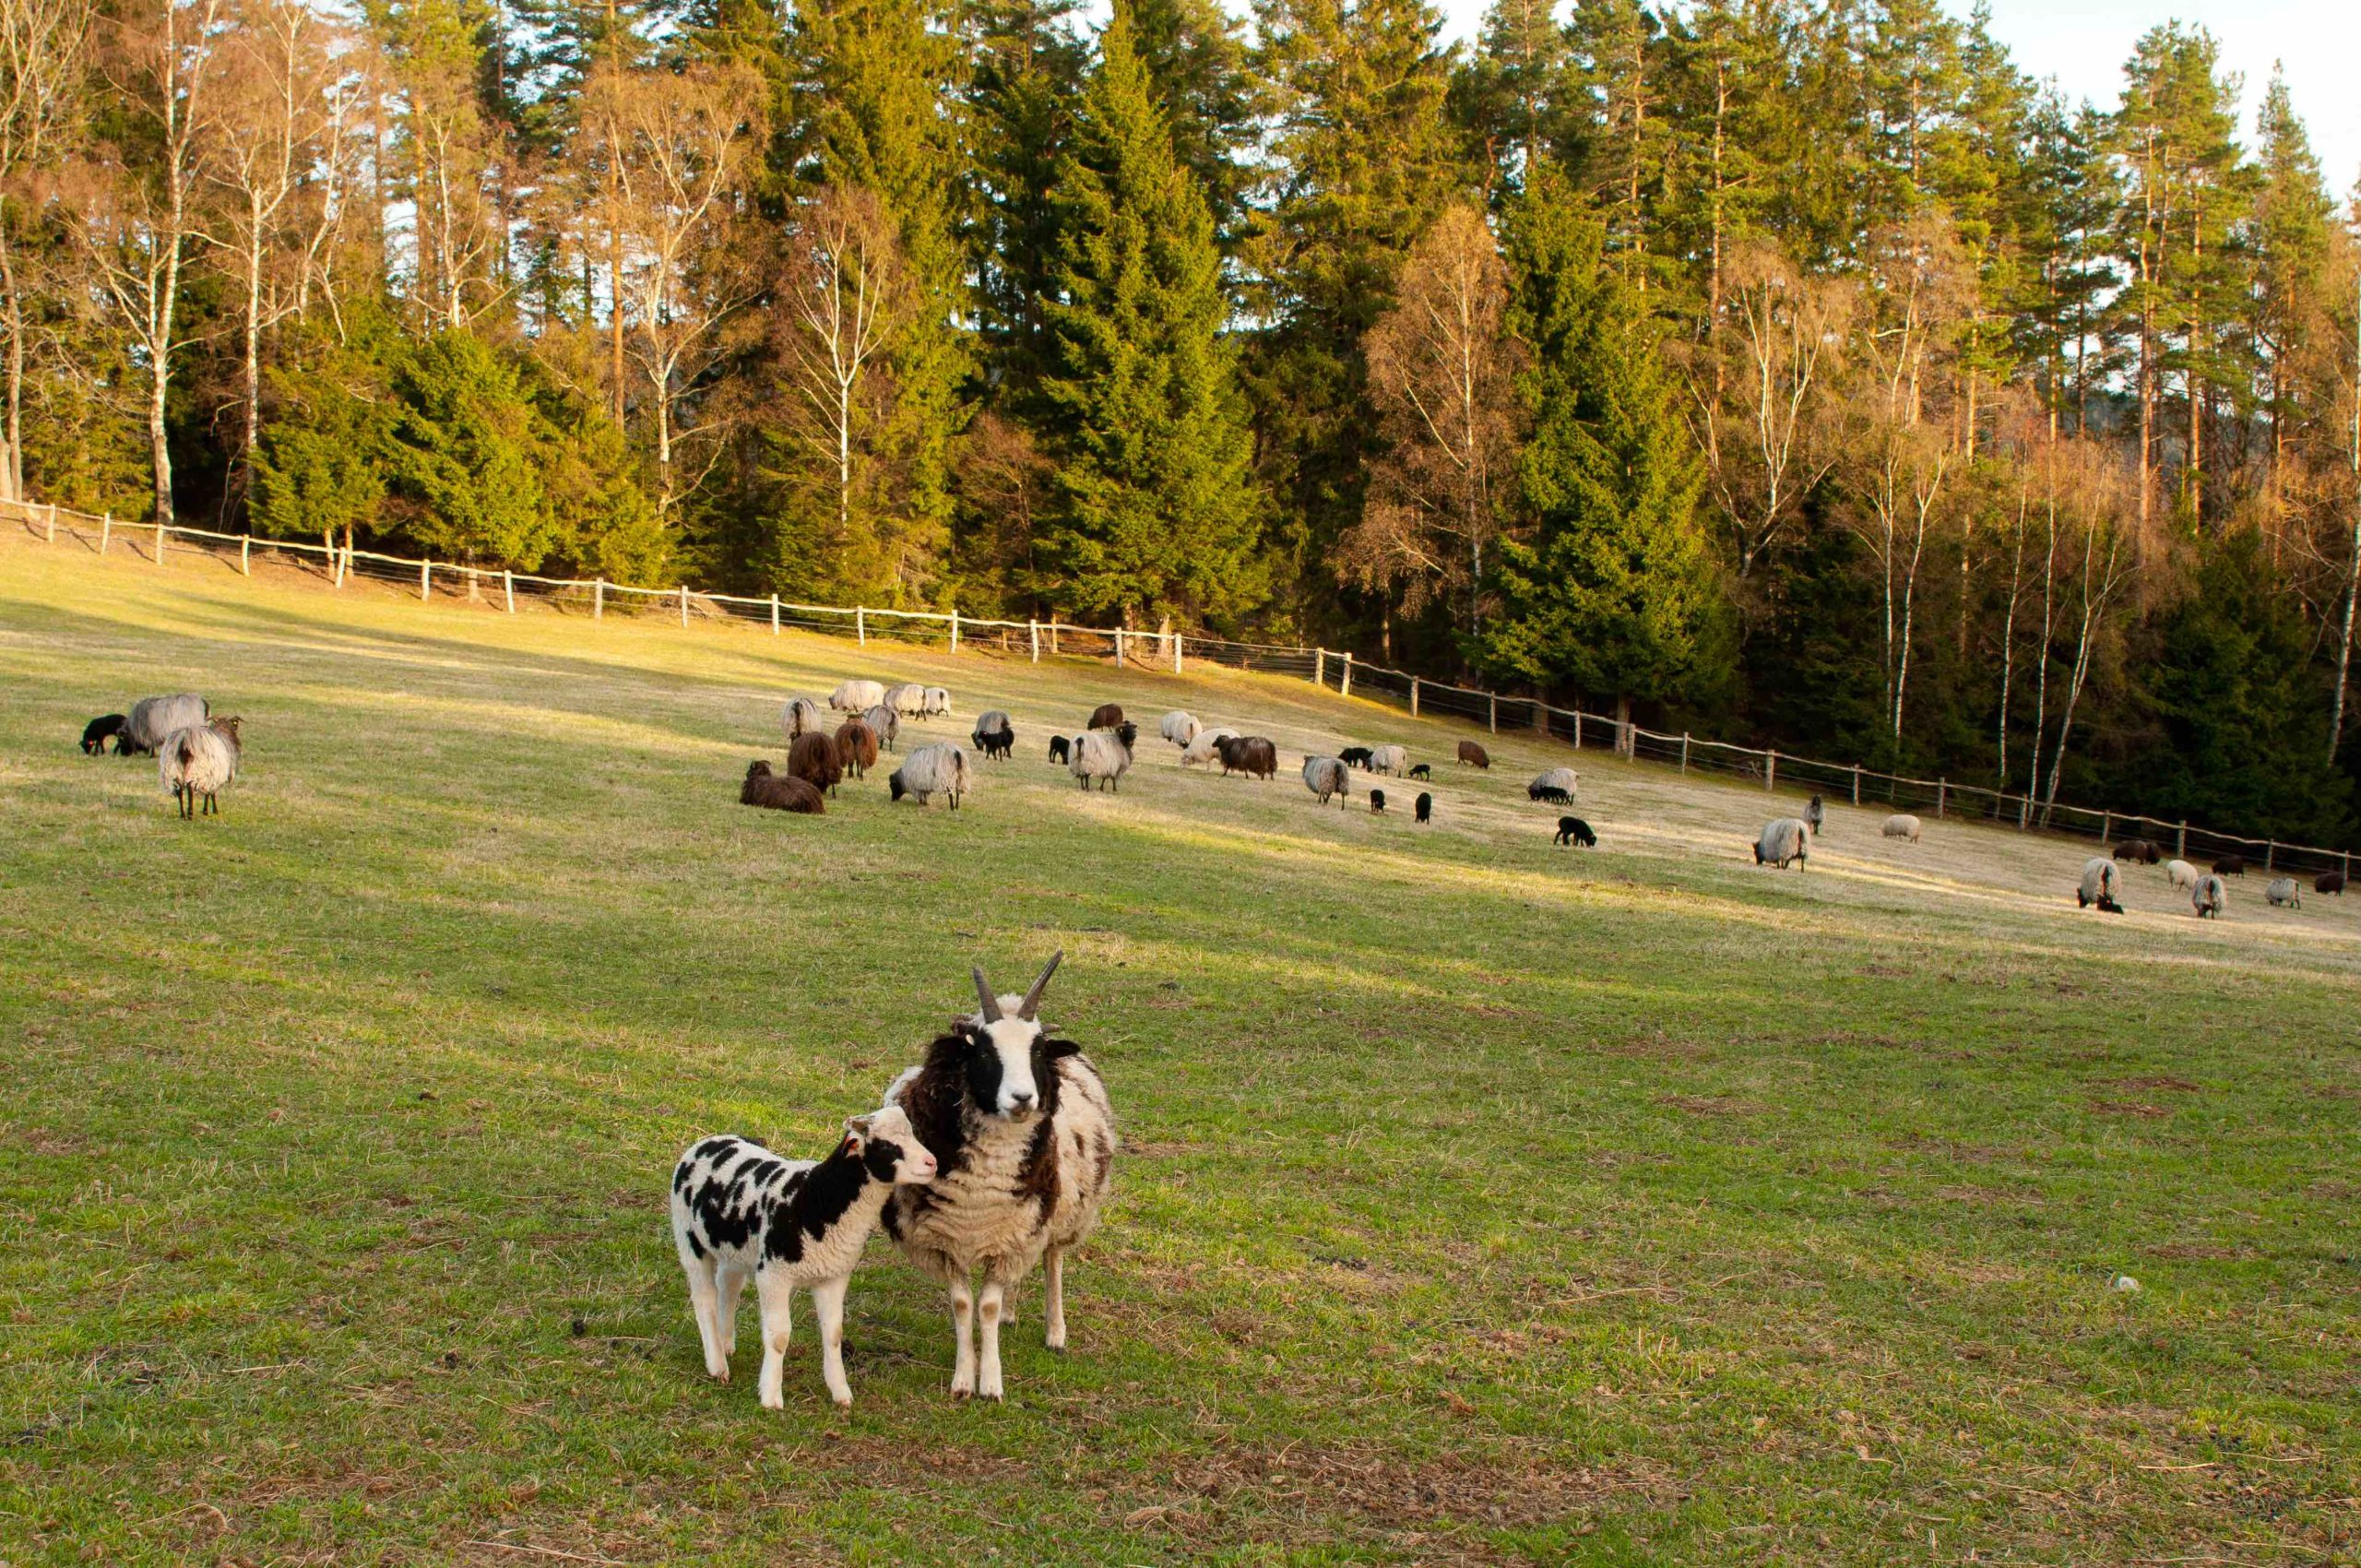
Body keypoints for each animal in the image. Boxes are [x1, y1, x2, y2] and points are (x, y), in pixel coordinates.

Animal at [670, 1100, 934, 1407]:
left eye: (912, 1133)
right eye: (887, 1146)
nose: (933, 1163)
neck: (816, 1198)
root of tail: (706, 1142)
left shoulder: (833, 1276)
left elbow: (833, 1334)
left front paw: (841, 1393)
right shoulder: (773, 1276)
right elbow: (779, 1337)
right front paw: (771, 1396)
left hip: (733, 1248)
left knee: (728, 1288)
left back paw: (726, 1344)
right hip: (689, 1240)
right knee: (704, 1299)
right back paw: (717, 1364)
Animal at [878, 949, 1114, 1397]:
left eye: (1037, 1052)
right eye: (985, 1053)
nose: (1023, 1098)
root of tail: (1008, 1000)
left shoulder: (1014, 1234)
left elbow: (986, 1306)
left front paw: (990, 1381)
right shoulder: (949, 1240)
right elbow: (964, 1305)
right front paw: (962, 1379)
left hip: (1060, 1213)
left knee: (1053, 1261)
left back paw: (1055, 1332)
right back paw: (1011, 1312)